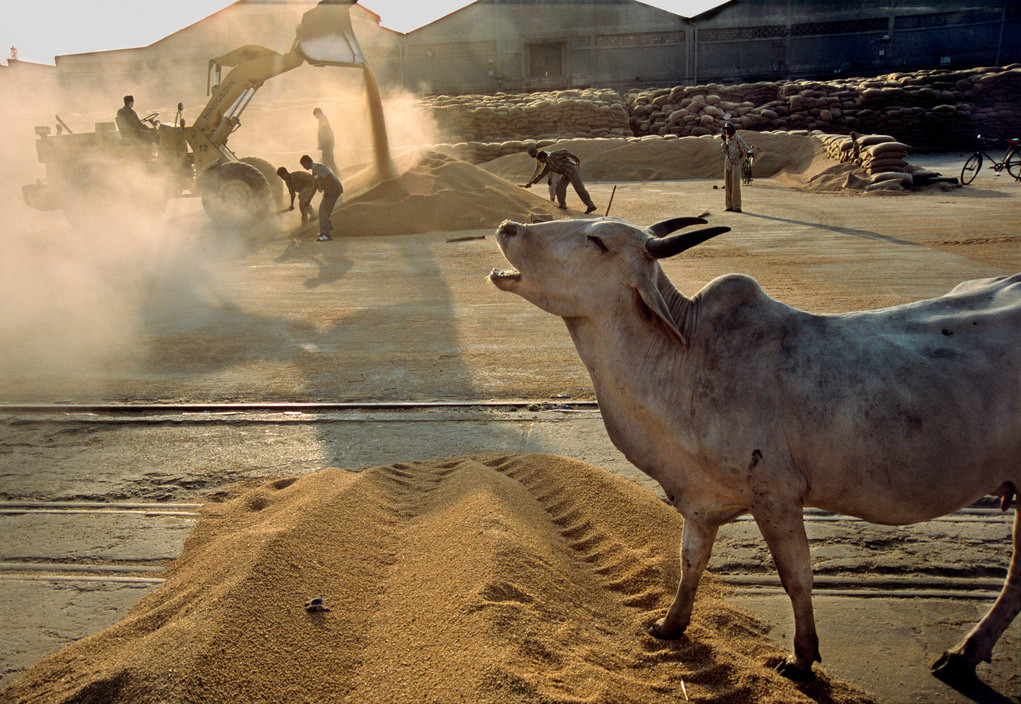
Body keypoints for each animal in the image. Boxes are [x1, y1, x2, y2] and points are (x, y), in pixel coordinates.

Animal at [488, 215, 1020, 683]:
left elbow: (796, 577)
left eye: (597, 241)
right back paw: (965, 656)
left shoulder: (776, 497)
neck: (688, 357)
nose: (508, 227)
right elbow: (690, 561)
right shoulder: (700, 500)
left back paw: (963, 654)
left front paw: (802, 658)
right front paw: (670, 625)